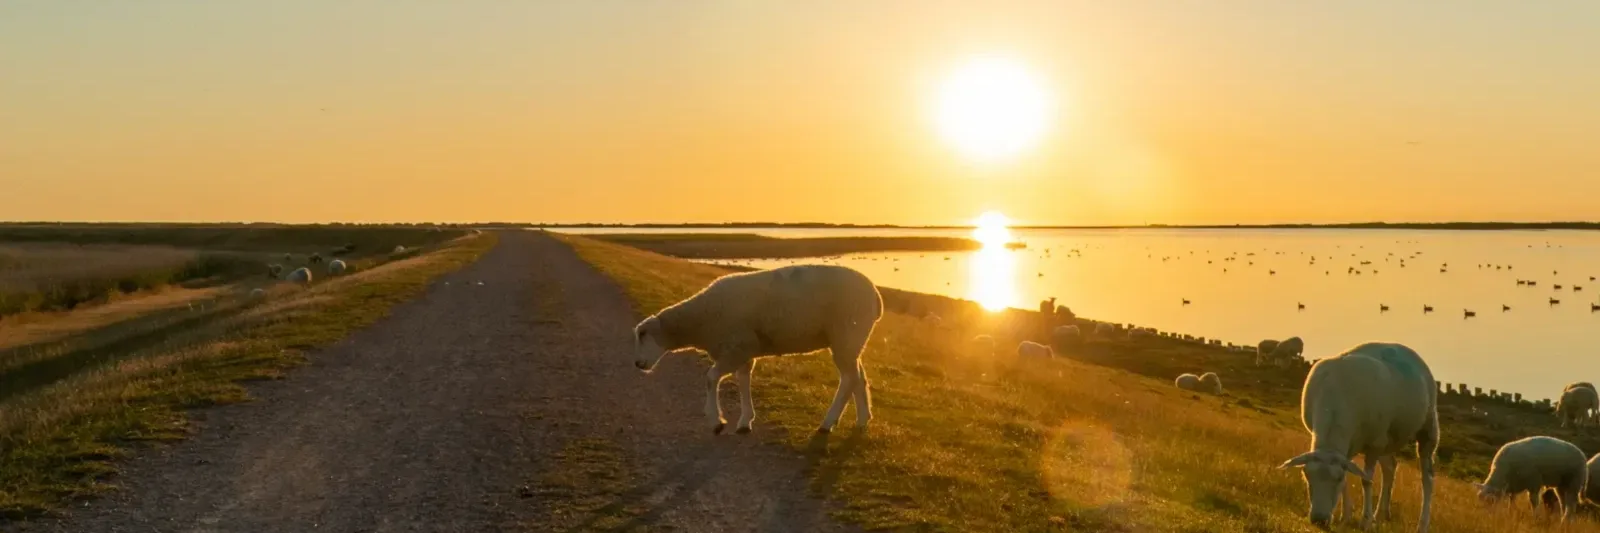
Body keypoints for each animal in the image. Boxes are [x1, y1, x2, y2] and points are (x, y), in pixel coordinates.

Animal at [631, 264, 882, 435]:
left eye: (642, 335)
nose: (637, 364)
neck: (701, 321)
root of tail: (876, 297)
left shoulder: (736, 348)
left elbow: (711, 378)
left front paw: (716, 421)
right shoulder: (742, 350)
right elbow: (743, 380)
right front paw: (745, 421)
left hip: (846, 333)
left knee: (848, 379)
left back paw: (828, 423)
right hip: (851, 340)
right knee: (858, 377)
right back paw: (862, 419)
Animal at [1278, 342, 1438, 531]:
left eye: (1337, 479)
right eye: (1306, 476)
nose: (1319, 520)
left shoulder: (1374, 443)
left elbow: (1366, 481)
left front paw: (1365, 521)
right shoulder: (1352, 445)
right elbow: (1350, 476)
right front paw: (1345, 516)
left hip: (1427, 426)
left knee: (1427, 478)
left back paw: (1422, 525)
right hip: (1387, 437)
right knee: (1390, 467)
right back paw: (1381, 515)